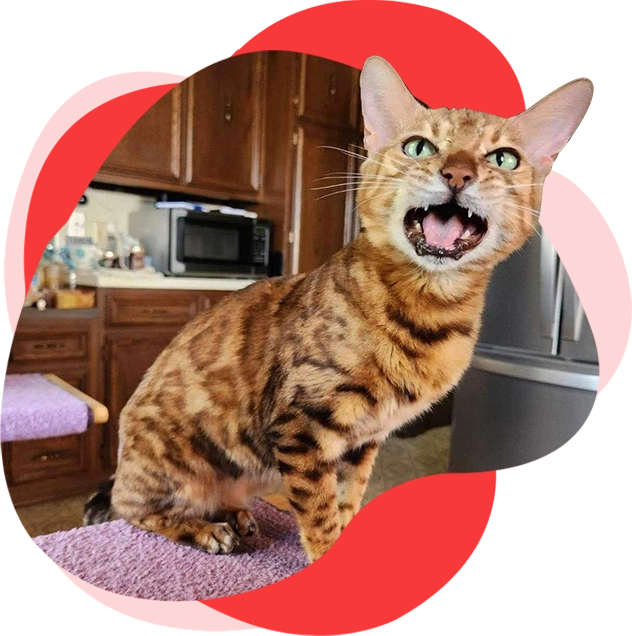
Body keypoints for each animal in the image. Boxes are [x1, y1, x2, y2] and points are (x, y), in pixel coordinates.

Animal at [84, 56, 592, 560]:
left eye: (503, 158)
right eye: (419, 146)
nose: (458, 173)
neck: (430, 315)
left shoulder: (362, 441)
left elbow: (348, 501)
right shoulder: (301, 427)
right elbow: (320, 515)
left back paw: (239, 514)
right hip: (175, 464)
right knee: (137, 510)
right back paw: (205, 529)